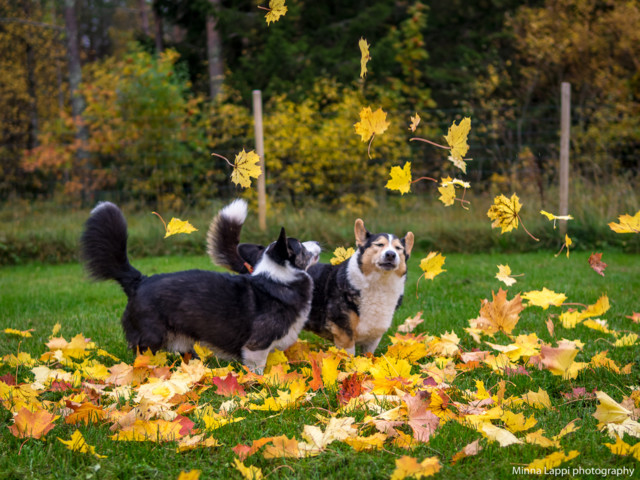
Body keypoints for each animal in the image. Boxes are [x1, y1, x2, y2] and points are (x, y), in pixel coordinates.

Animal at [208, 201, 412, 354]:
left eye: (399, 249)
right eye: (379, 245)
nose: (391, 255)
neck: (378, 284)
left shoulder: (373, 339)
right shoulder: (344, 335)